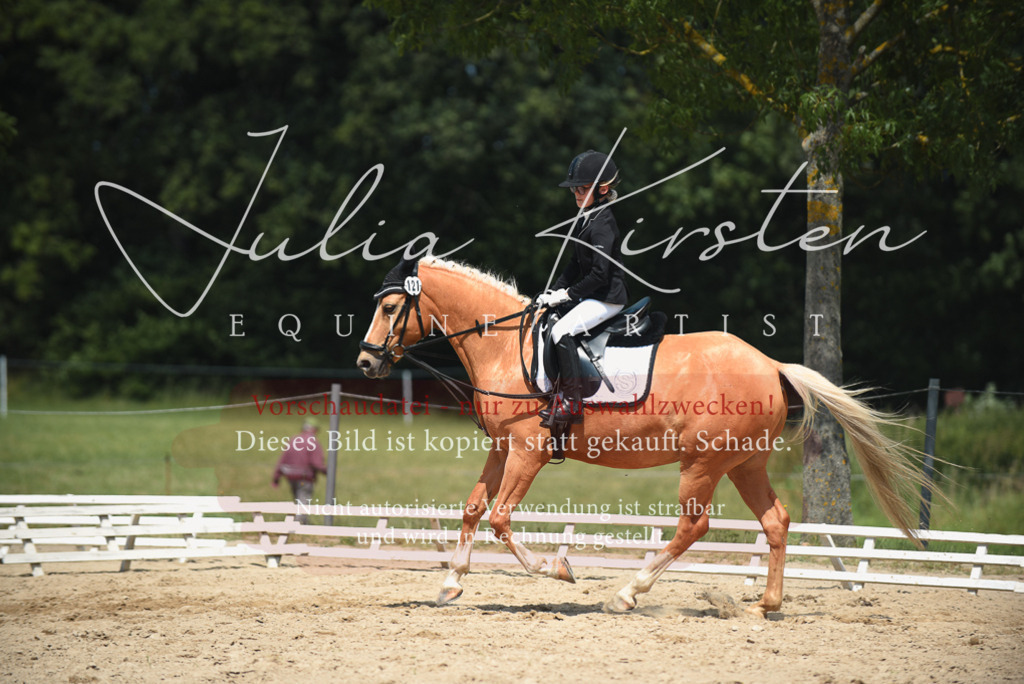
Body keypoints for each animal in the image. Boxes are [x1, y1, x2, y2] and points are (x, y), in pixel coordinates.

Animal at [355, 255, 928, 616]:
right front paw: (451, 582)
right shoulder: (502, 448)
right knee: (776, 522)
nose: (365, 362)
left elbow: (499, 519)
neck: (503, 347)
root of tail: (770, 365)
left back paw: (628, 593)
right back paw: (766, 605)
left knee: (693, 527)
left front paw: (556, 568)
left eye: (390, 308)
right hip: (744, 464)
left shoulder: (528, 452)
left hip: (702, 465)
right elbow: (474, 509)